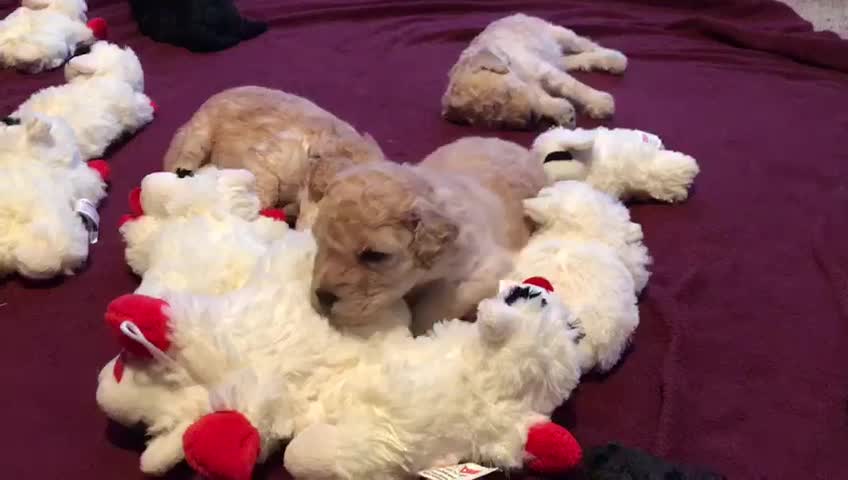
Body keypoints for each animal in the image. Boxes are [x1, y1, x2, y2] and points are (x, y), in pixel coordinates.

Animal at [440, 13, 628, 129]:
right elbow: (542, 99)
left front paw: (600, 103)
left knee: (587, 45)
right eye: (499, 122)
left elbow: (572, 86)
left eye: (507, 94)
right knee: (574, 59)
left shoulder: (540, 70)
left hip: (559, 33)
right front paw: (562, 112)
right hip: (557, 56)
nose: (530, 120)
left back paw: (615, 59)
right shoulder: (533, 87)